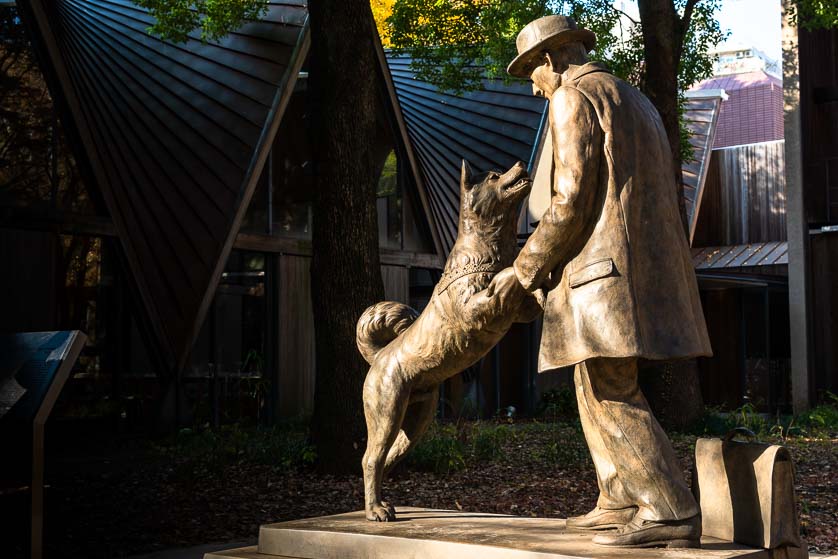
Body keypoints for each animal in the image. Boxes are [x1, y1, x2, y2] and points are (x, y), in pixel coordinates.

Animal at [356, 158, 544, 520]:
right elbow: (505, 278)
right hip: (386, 411)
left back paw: (384, 503)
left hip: (416, 419)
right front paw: (516, 270)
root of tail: (380, 356)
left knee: (386, 458)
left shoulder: (520, 314)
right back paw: (375, 510)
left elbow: (528, 298)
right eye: (494, 177)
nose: (518, 164)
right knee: (370, 459)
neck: (486, 249)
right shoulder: (475, 308)